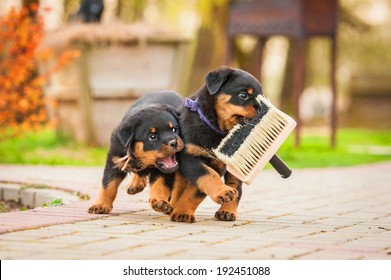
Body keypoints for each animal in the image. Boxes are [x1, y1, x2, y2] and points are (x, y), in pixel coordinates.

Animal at [169, 66, 264, 222]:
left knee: (235, 185)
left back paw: (227, 210)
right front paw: (182, 212)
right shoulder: (190, 157)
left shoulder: (226, 164)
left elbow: (197, 190)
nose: (263, 110)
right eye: (243, 95)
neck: (219, 130)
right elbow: (207, 176)